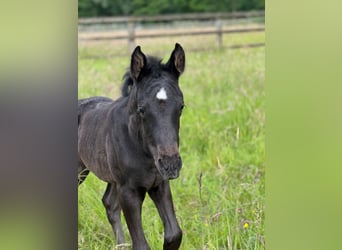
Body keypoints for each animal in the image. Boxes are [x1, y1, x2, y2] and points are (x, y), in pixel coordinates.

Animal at [78, 44, 186, 249]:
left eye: (181, 106)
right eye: (141, 109)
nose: (170, 164)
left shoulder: (159, 184)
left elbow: (174, 234)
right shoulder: (129, 191)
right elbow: (141, 245)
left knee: (109, 204)